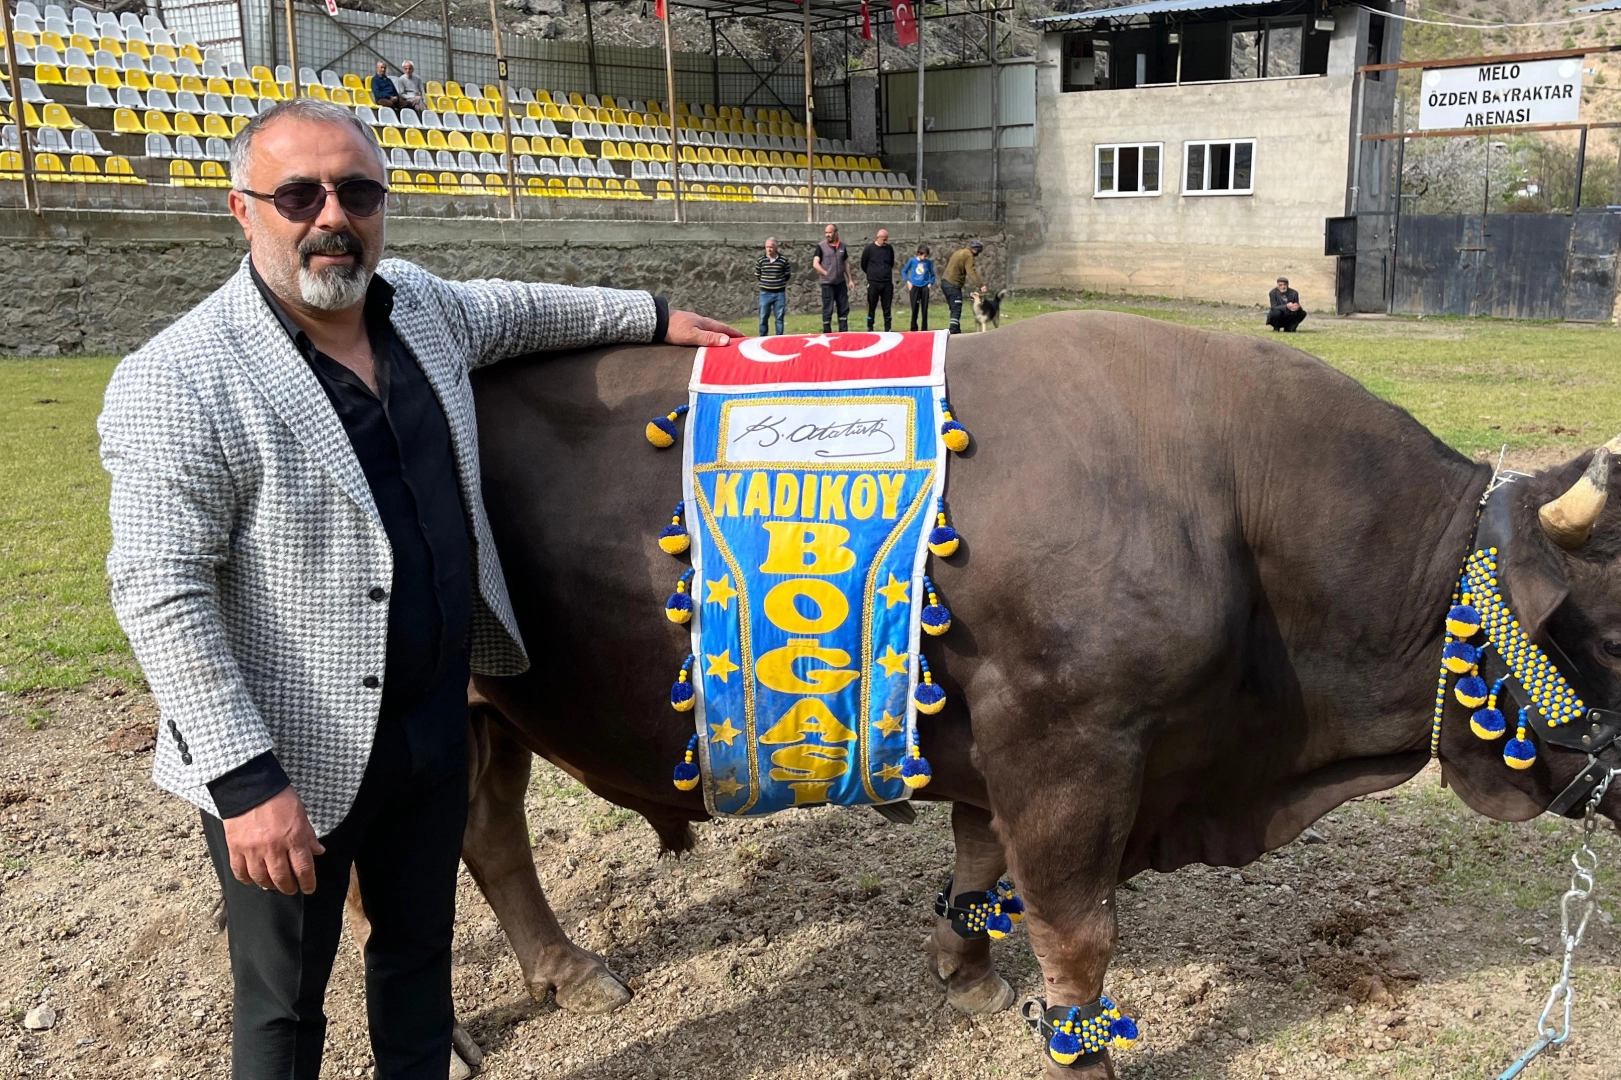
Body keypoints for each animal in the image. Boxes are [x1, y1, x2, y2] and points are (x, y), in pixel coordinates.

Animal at [349, 311, 1621, 1078]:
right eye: (1610, 623)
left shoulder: (990, 737)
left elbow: (975, 868)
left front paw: (965, 979)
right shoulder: (1072, 741)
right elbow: (1078, 932)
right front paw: (1083, 1050)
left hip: (493, 714)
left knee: (490, 835)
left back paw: (566, 975)